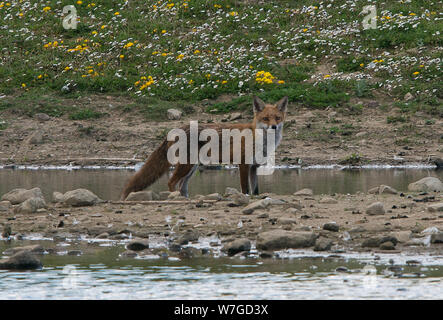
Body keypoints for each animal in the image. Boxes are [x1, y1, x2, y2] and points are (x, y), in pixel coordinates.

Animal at [120, 95, 288, 200]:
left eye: (277, 118)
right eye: (265, 118)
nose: (273, 127)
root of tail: (177, 128)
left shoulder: (254, 167)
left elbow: (256, 190)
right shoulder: (243, 165)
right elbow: (245, 189)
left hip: (191, 168)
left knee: (182, 186)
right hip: (186, 166)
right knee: (171, 182)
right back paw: (174, 198)